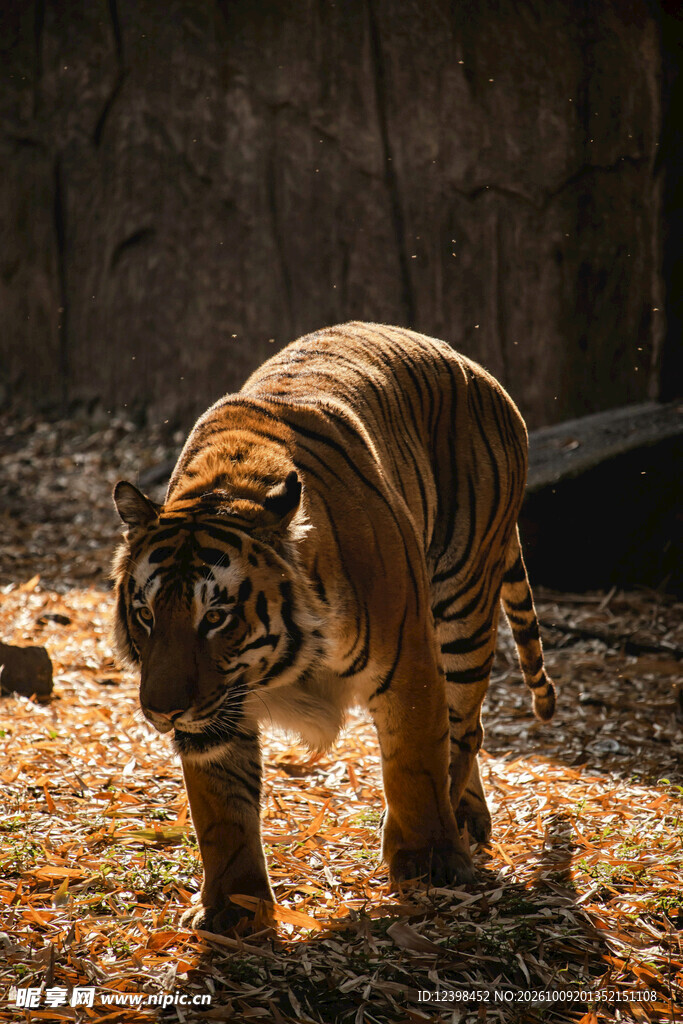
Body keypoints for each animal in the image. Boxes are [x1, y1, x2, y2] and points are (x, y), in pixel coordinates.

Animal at [112, 321, 555, 934]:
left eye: (216, 618)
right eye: (147, 615)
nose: (163, 712)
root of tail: (474, 366)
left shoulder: (410, 662)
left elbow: (415, 761)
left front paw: (430, 863)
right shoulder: (219, 711)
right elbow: (222, 810)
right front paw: (234, 908)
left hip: (462, 607)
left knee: (465, 731)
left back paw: (450, 825)